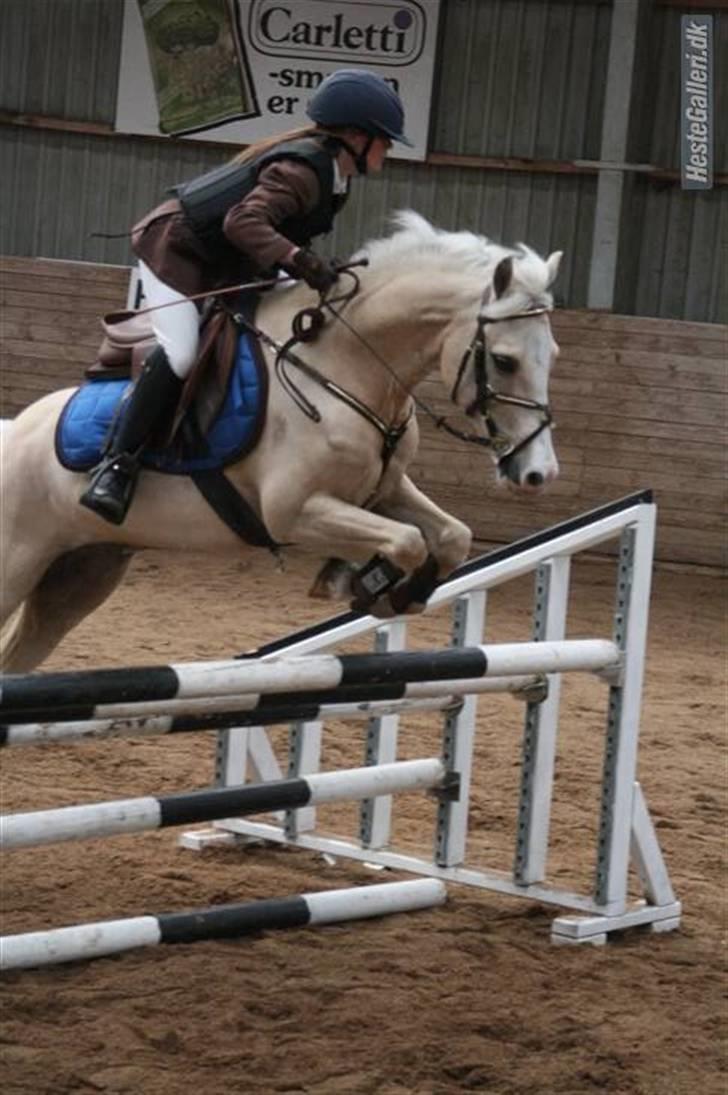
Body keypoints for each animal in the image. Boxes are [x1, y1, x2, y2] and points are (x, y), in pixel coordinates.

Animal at [0, 211, 562, 672]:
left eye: (553, 355)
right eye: (505, 361)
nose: (539, 473)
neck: (343, 366)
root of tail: (12, 430)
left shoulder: (384, 489)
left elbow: (450, 536)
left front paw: (396, 592)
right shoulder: (294, 512)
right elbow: (406, 540)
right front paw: (365, 582)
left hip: (81, 573)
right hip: (18, 563)